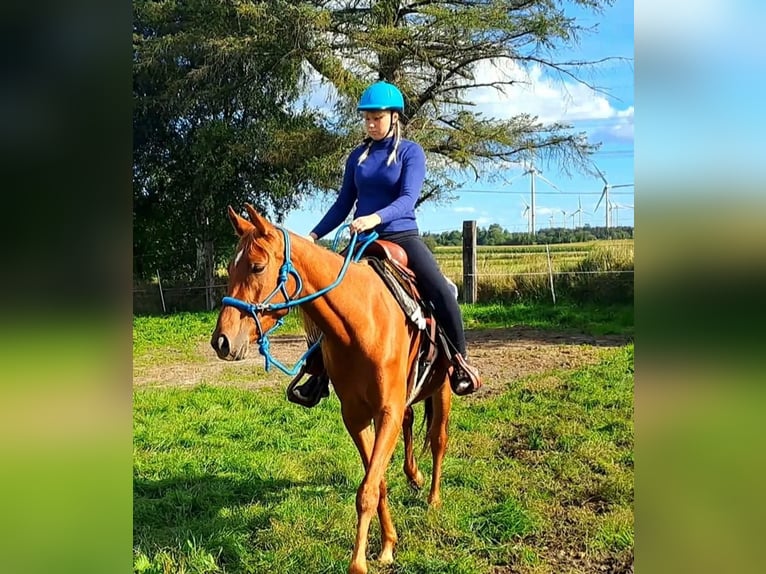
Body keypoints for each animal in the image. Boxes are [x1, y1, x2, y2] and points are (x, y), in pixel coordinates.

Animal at [211, 204, 452, 574]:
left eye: (257, 266)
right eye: (230, 266)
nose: (221, 341)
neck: (362, 323)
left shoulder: (386, 411)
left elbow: (367, 490)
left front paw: (361, 563)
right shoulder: (356, 417)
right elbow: (377, 482)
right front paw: (387, 544)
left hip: (443, 389)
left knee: (438, 440)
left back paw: (434, 497)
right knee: (411, 423)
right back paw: (414, 476)